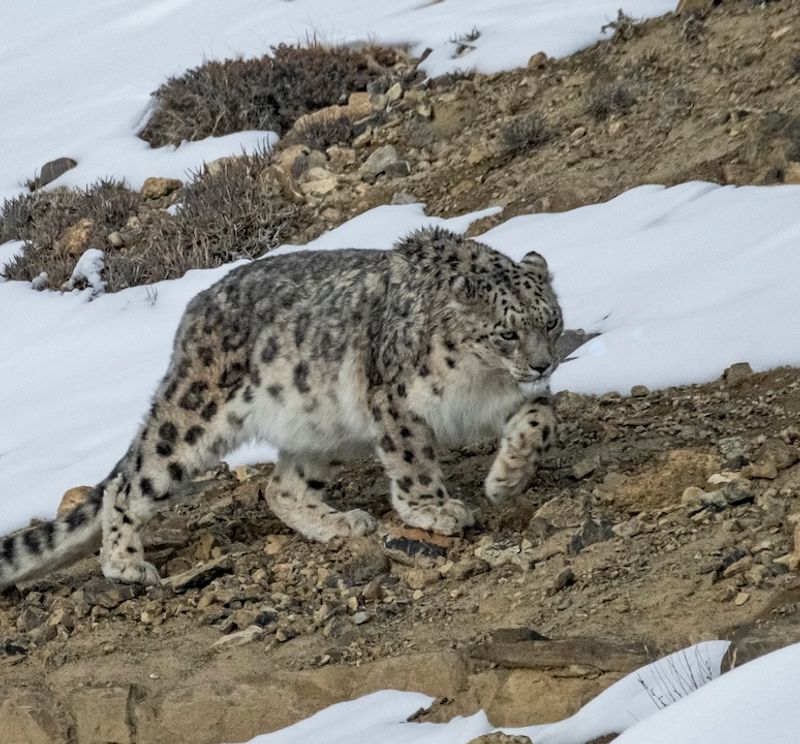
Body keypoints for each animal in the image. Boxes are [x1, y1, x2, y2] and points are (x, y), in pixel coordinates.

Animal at [0, 227, 564, 588]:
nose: (542, 363)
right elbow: (413, 462)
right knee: (128, 482)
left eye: (552, 319)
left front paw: (507, 478)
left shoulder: (513, 398)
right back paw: (125, 565)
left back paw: (340, 523)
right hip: (193, 419)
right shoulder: (397, 401)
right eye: (507, 331)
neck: (482, 380)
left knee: (281, 486)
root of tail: (193, 311)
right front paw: (434, 509)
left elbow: (541, 418)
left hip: (324, 427)